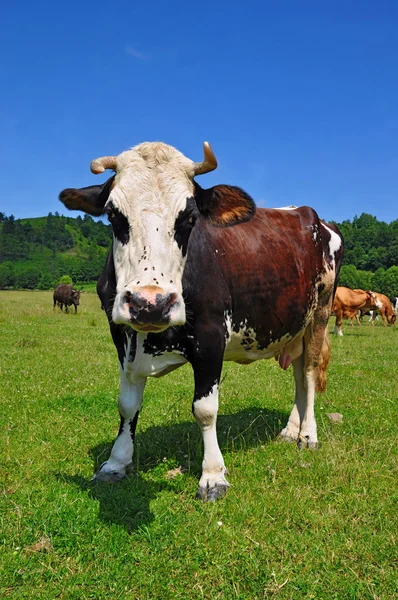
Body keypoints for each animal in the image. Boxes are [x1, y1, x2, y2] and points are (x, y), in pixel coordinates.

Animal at [59, 142, 346, 502]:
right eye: (113, 215)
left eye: (190, 217)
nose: (150, 304)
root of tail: (314, 217)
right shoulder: (120, 334)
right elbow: (126, 404)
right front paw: (116, 462)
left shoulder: (211, 338)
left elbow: (205, 408)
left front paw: (213, 475)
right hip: (293, 326)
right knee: (296, 372)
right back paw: (291, 429)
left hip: (320, 313)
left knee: (308, 372)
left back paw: (308, 434)